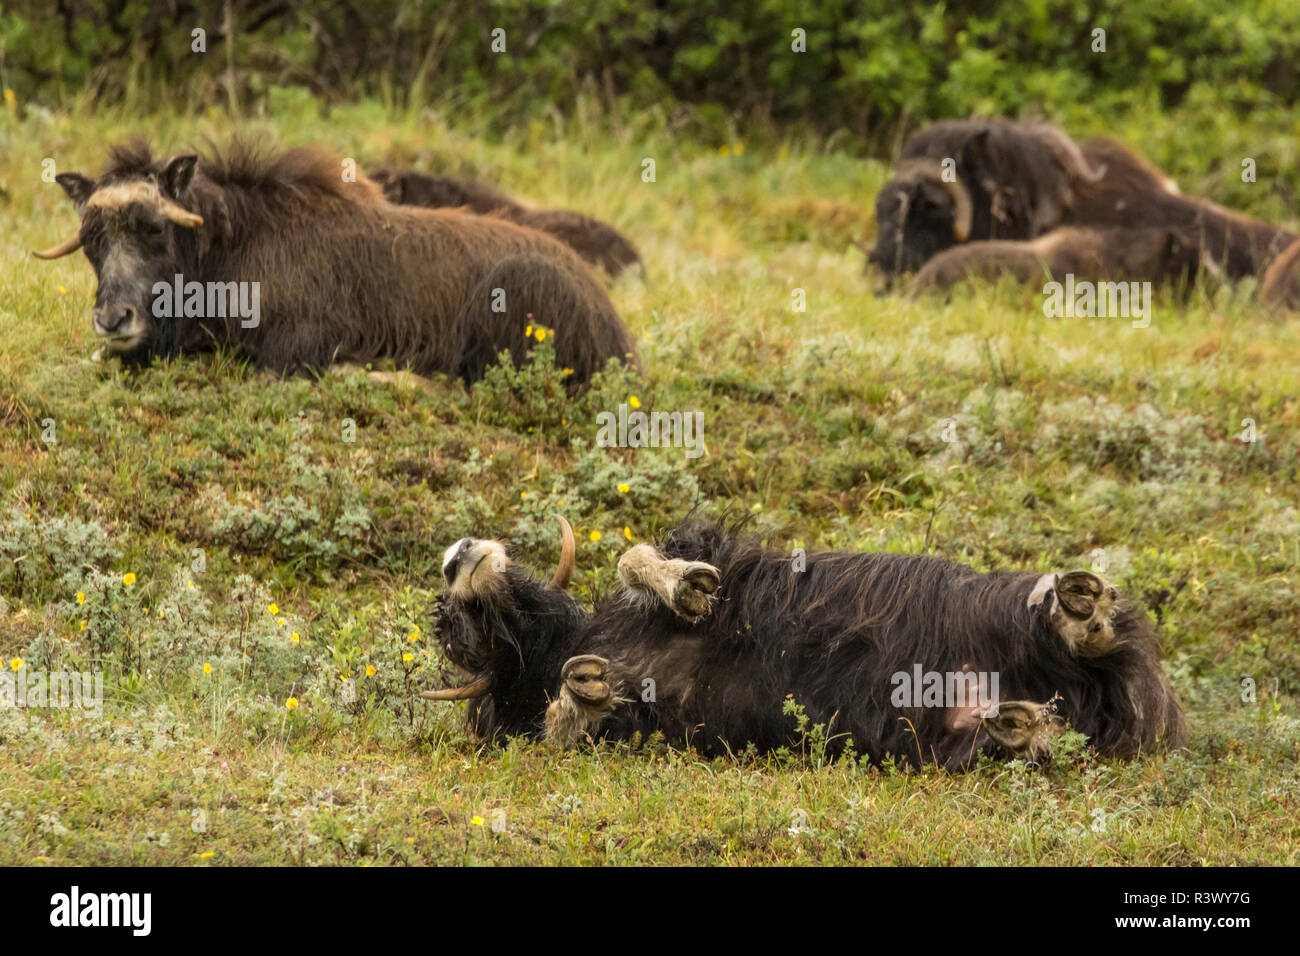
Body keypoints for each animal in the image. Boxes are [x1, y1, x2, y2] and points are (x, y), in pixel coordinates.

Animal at [428, 515, 1190, 770]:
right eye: (457, 632)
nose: (456, 556)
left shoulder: (715, 557)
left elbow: (638, 555)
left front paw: (687, 587)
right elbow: (569, 724)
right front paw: (582, 694)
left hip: (995, 611)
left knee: (1071, 626)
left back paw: (1079, 604)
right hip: (949, 747)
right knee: (1039, 743)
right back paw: (1023, 723)